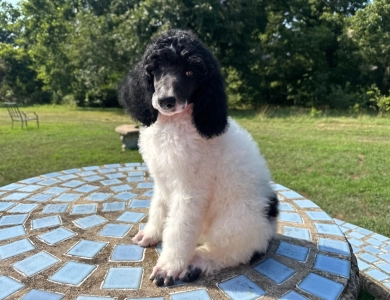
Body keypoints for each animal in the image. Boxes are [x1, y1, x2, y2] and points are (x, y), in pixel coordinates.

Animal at [119, 29, 278, 288]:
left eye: (190, 72)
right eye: (158, 68)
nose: (166, 101)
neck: (175, 125)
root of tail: (271, 227)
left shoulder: (190, 193)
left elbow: (178, 229)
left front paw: (168, 267)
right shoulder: (163, 180)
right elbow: (159, 208)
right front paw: (152, 234)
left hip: (235, 223)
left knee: (232, 252)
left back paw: (197, 262)